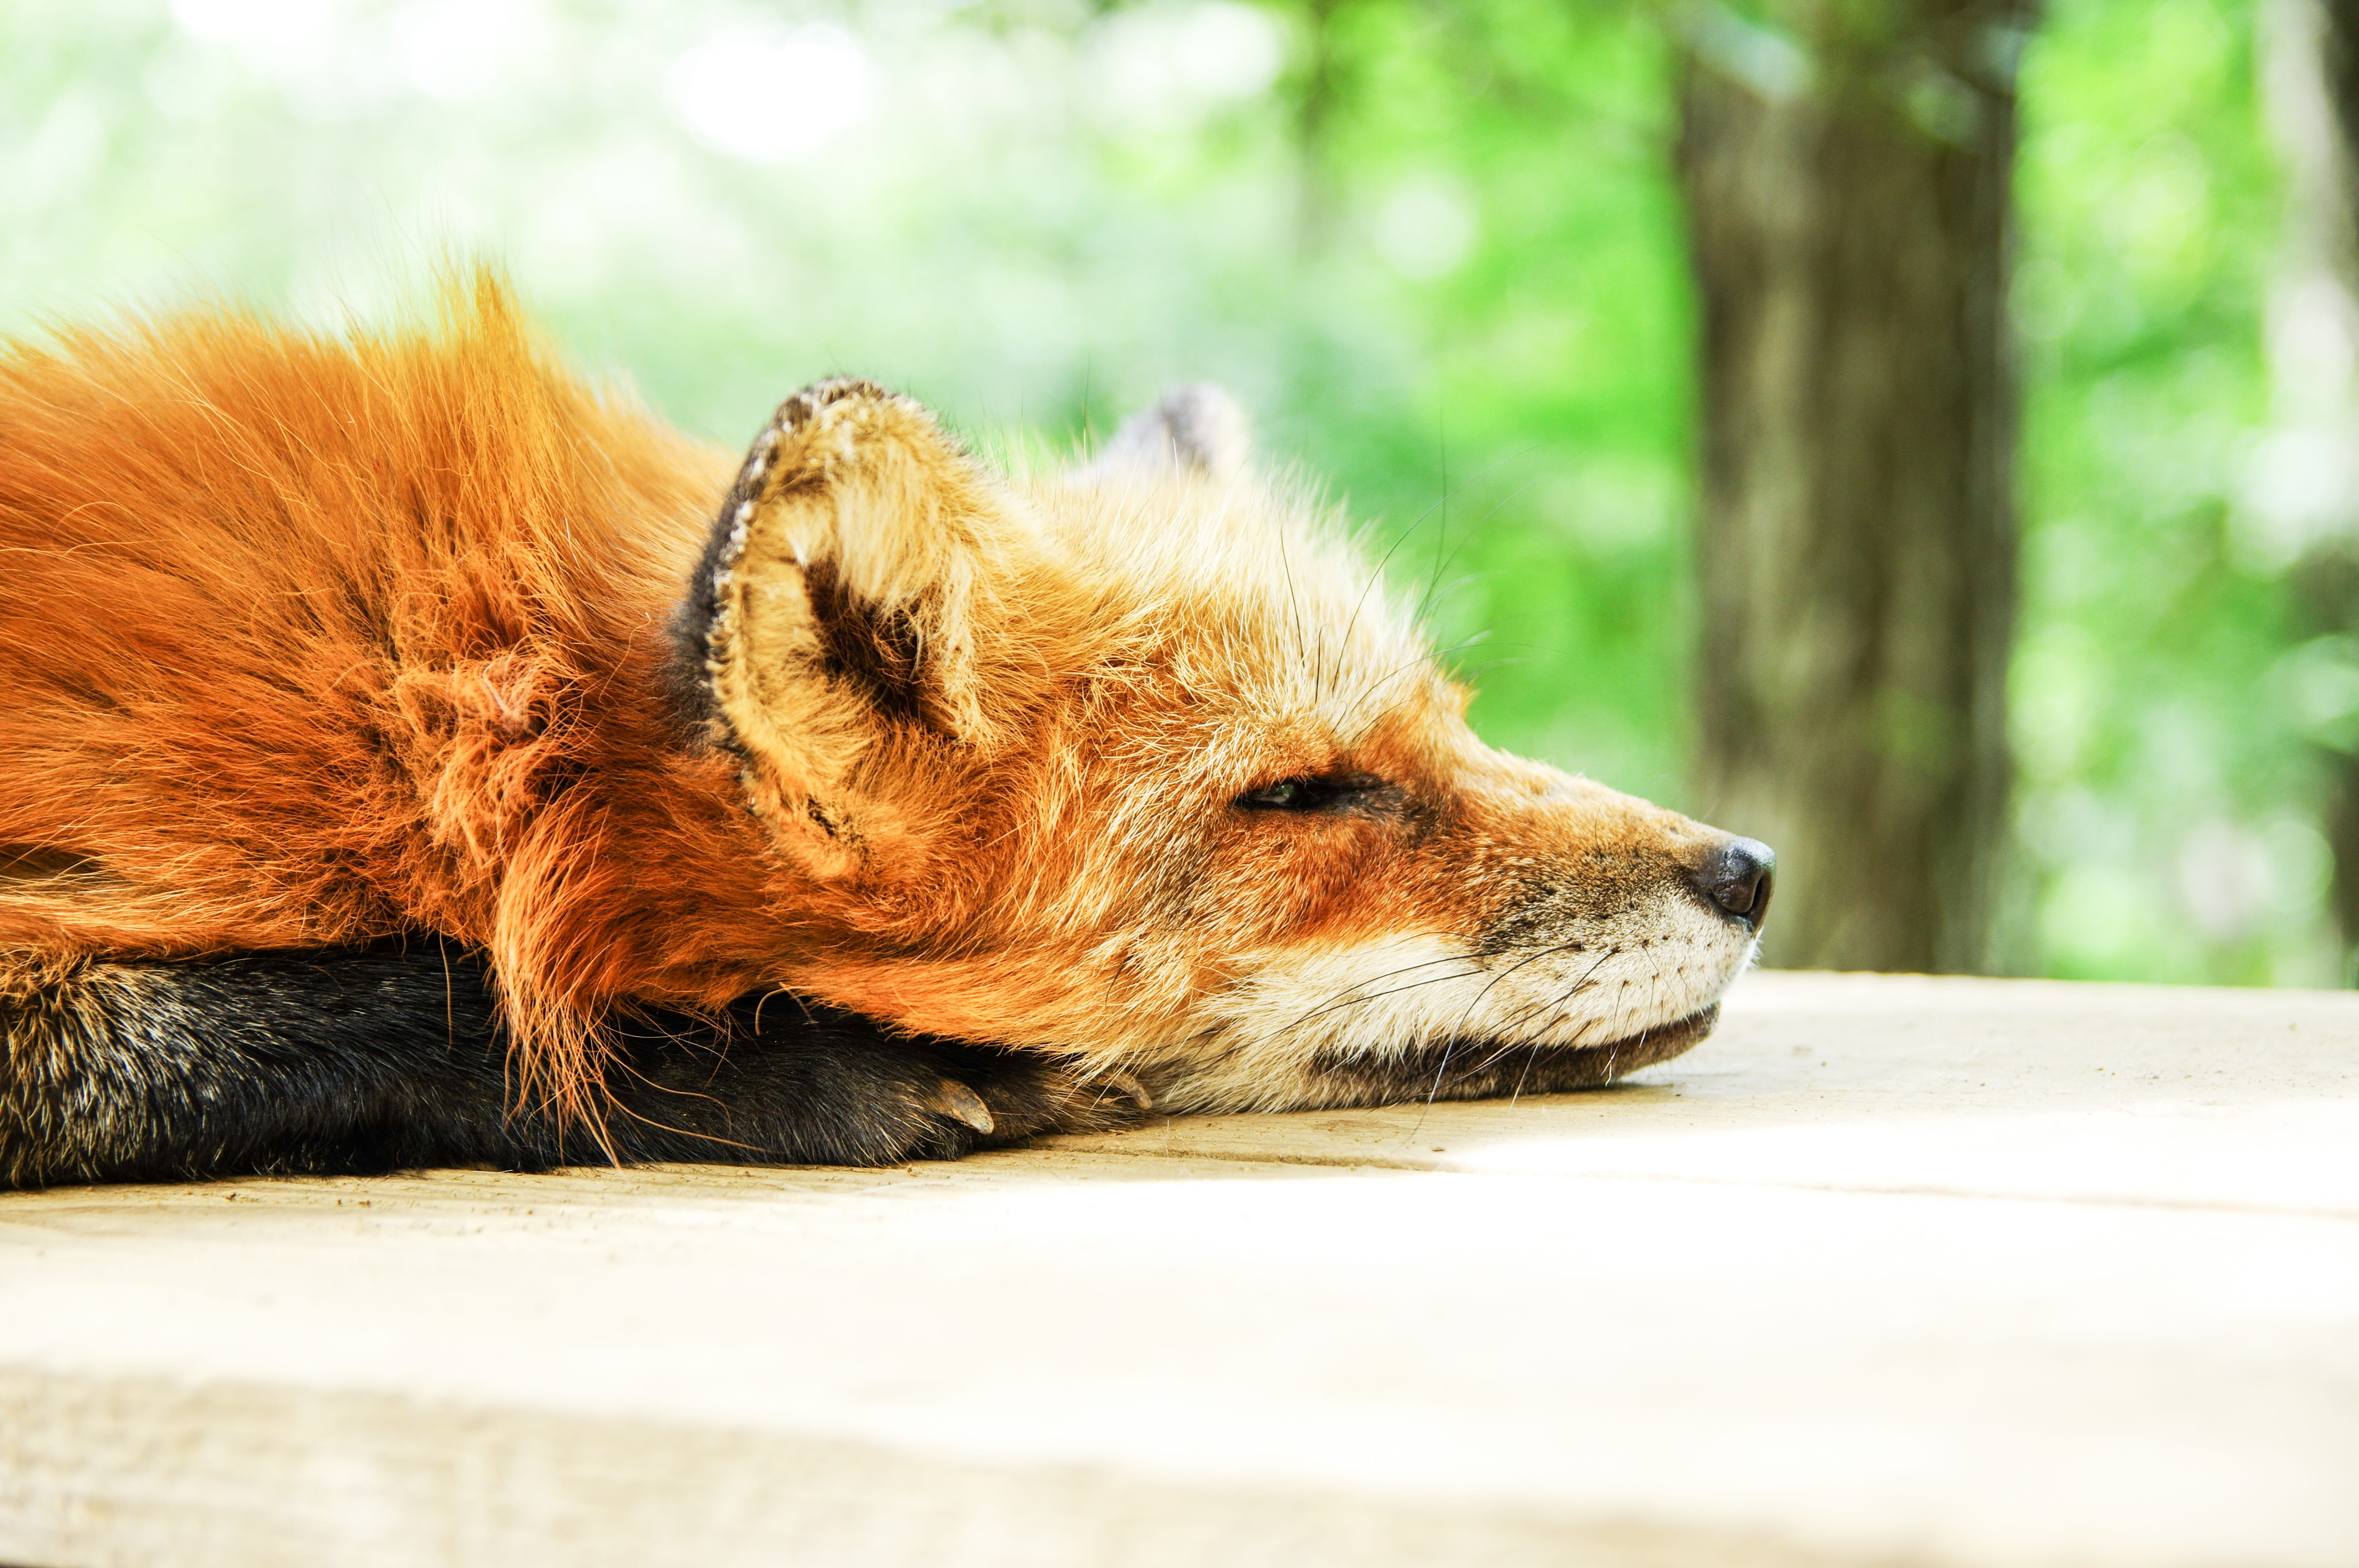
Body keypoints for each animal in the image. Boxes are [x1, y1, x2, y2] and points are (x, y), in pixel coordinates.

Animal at [0, 273, 1773, 1188]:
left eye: (1456, 728)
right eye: (1306, 794)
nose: (1749, 872)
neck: (426, 710)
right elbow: (406, 1002)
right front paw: (804, 1069)